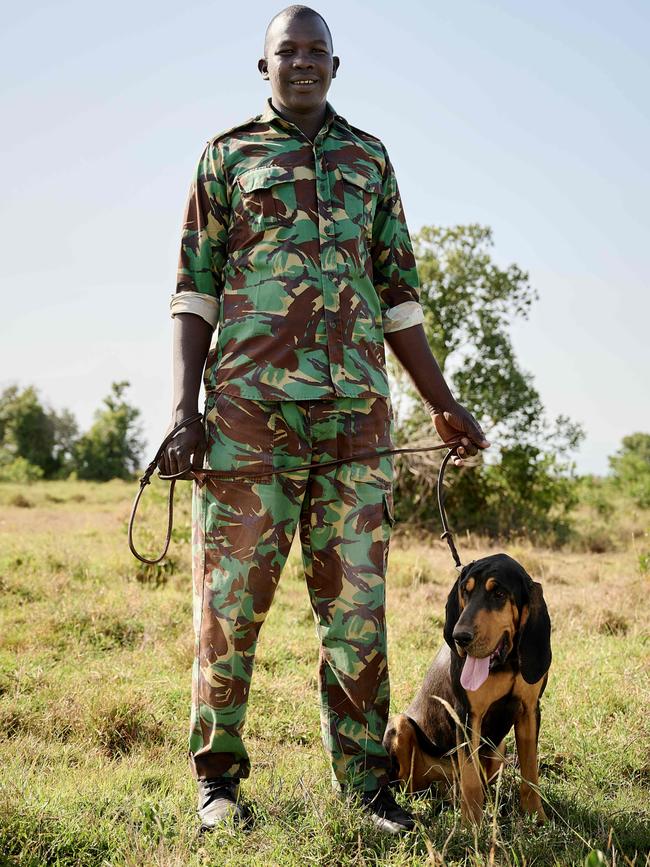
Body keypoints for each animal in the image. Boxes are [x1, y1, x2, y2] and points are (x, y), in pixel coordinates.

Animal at [382, 552, 548, 824]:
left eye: (499, 594)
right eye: (465, 592)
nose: (460, 637)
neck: (507, 663)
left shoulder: (530, 711)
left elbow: (530, 772)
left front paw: (537, 817)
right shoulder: (468, 716)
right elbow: (471, 781)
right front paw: (471, 826)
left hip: (498, 749)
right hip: (400, 725)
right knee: (411, 786)